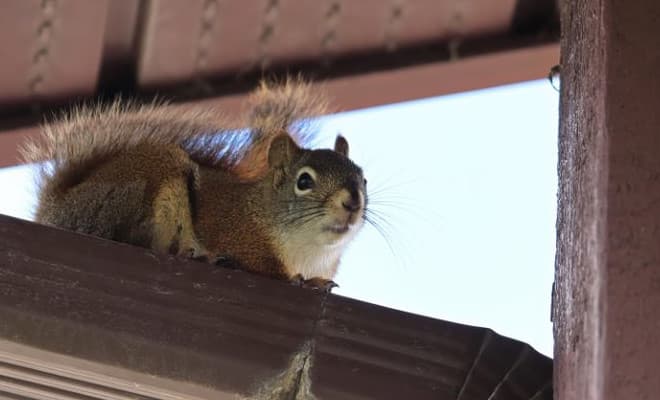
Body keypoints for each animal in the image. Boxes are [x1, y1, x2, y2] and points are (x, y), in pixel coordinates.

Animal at [22, 79, 368, 290]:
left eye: (363, 178)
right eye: (304, 181)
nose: (352, 202)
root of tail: (57, 209)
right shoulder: (242, 238)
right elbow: (267, 269)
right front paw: (303, 282)